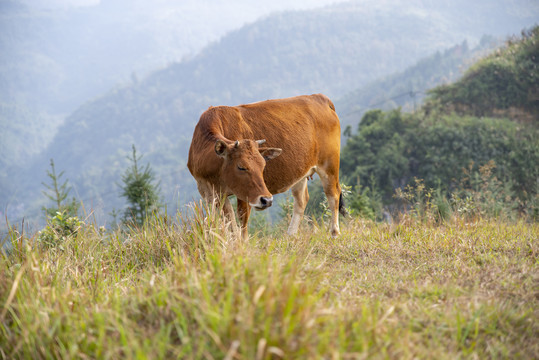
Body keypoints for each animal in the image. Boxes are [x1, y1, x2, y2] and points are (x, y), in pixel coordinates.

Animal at [188, 93, 348, 239]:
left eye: (263, 167)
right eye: (241, 167)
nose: (267, 200)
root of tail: (319, 97)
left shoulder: (246, 194)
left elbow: (241, 220)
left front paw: (242, 244)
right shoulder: (209, 192)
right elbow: (226, 221)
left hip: (329, 165)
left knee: (333, 194)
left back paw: (334, 233)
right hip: (301, 171)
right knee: (301, 200)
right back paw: (290, 236)